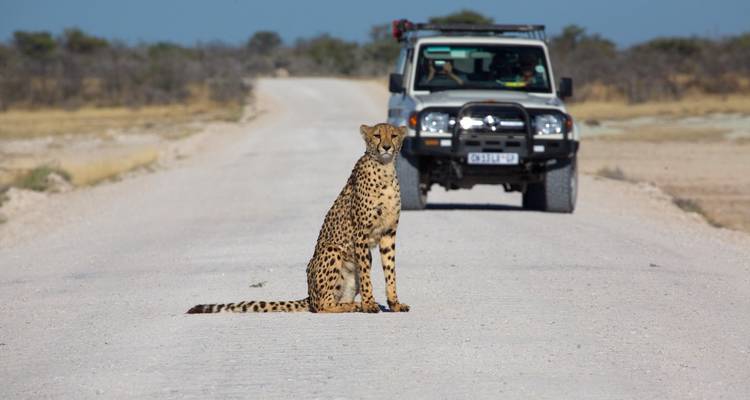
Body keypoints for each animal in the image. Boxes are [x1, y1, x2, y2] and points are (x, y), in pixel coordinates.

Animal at [187, 123, 410, 314]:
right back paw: (352, 306)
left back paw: (352, 304)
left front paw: (394, 303)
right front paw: (370, 303)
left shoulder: (388, 233)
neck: (384, 169)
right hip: (332, 250)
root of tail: (309, 294)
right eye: (377, 135)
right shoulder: (360, 234)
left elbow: (390, 270)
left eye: (394, 135)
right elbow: (365, 274)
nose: (386, 147)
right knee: (322, 305)